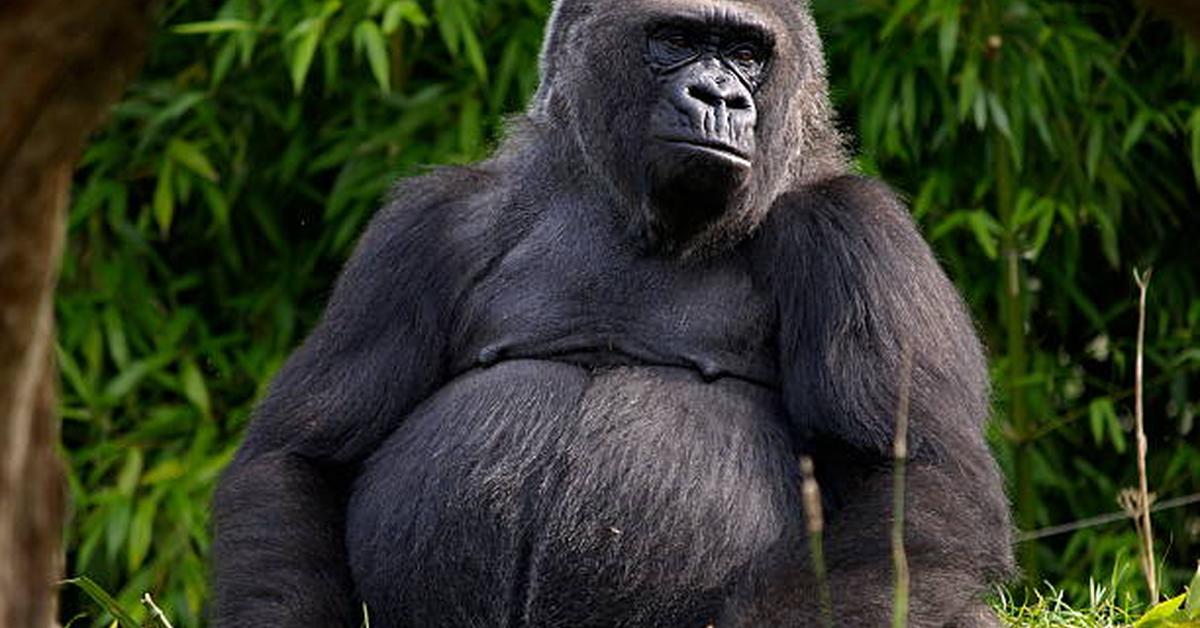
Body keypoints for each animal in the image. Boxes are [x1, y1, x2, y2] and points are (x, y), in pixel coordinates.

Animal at [213, 1, 1012, 628]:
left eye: (747, 54)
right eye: (678, 39)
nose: (720, 95)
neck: (630, 209)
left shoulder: (859, 235)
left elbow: (914, 479)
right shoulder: (427, 227)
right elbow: (300, 457)